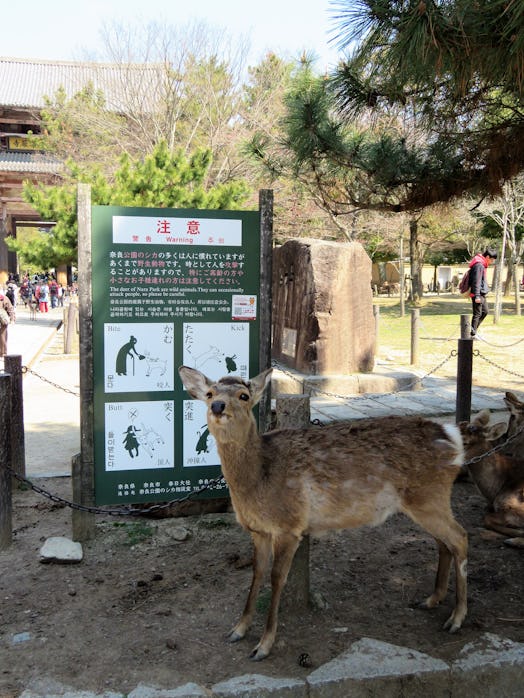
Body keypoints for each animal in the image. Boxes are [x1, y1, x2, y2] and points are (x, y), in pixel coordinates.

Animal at [178, 364, 468, 656]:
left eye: (244, 396)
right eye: (210, 393)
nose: (217, 406)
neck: (258, 480)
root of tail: (453, 440)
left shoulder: (289, 525)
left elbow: (276, 578)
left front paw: (264, 645)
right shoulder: (258, 530)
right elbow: (256, 573)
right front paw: (237, 630)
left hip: (429, 497)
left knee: (460, 537)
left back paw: (456, 619)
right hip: (427, 502)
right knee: (444, 543)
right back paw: (431, 600)